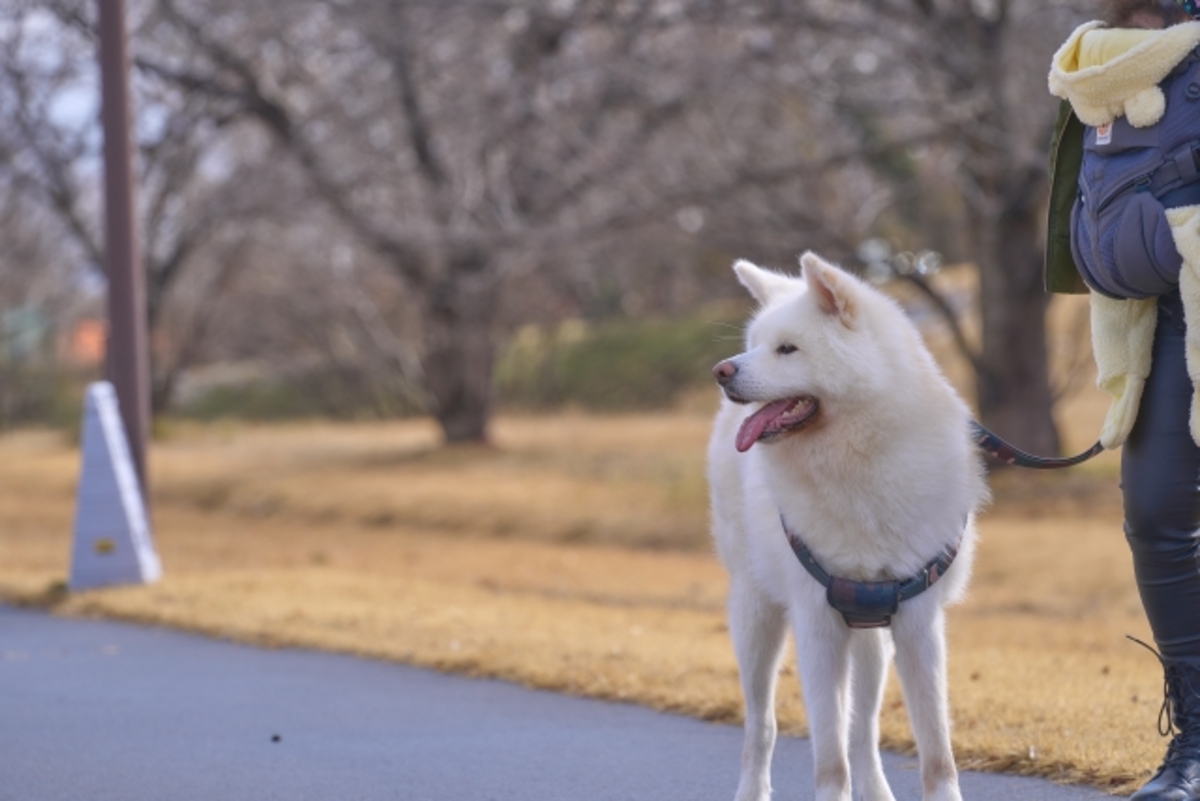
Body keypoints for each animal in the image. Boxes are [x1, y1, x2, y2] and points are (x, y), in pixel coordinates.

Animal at [705, 251, 988, 801]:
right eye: (755, 345)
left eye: (787, 349)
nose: (722, 370)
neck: (855, 463)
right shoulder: (817, 626)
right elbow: (830, 761)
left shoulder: (918, 625)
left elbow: (936, 754)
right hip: (755, 615)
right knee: (761, 726)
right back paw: (752, 787)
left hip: (871, 638)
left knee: (863, 729)